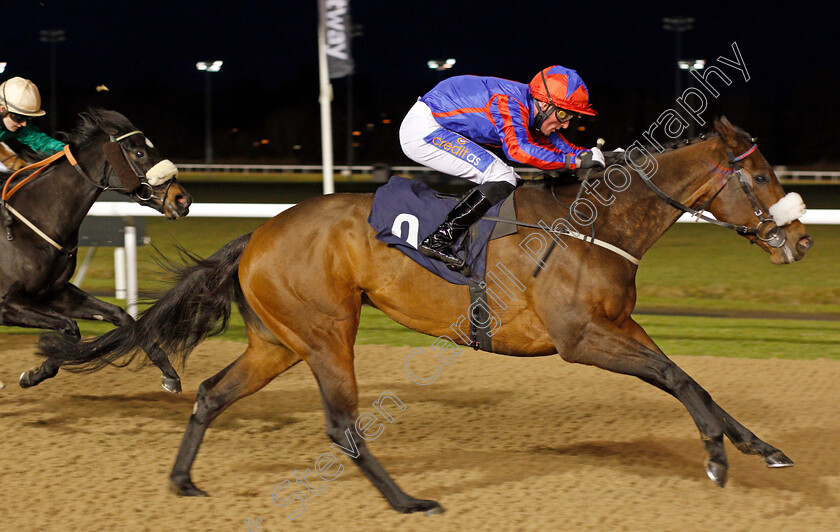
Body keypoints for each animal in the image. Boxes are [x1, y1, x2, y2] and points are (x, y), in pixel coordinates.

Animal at [4, 107, 193, 390]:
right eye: (139, 153)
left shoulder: (54, 293)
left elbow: (121, 317)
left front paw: (169, 373)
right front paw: (36, 372)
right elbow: (70, 328)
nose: (183, 200)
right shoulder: (7, 302)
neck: (30, 226)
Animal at [36, 117, 812, 512]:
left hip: (278, 342)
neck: (601, 222)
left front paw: (764, 449)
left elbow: (693, 380)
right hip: (327, 331)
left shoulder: (619, 325)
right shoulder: (583, 339)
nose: (802, 240)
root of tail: (257, 235)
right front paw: (715, 458)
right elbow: (679, 381)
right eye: (763, 175)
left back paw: (182, 480)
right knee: (341, 423)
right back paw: (408, 502)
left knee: (209, 394)